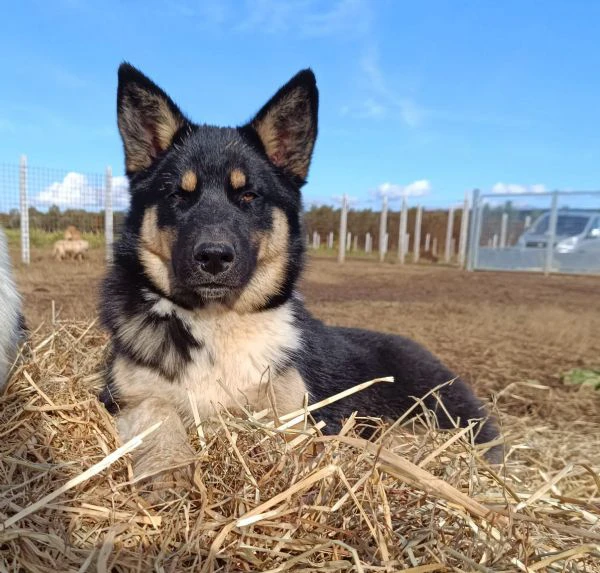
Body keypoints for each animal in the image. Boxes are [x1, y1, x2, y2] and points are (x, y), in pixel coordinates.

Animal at [99, 63, 502, 488]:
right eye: (178, 195)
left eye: (249, 196)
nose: (213, 256)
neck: (219, 321)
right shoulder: (124, 397)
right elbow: (157, 411)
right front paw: (169, 466)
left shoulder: (295, 407)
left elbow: (284, 430)